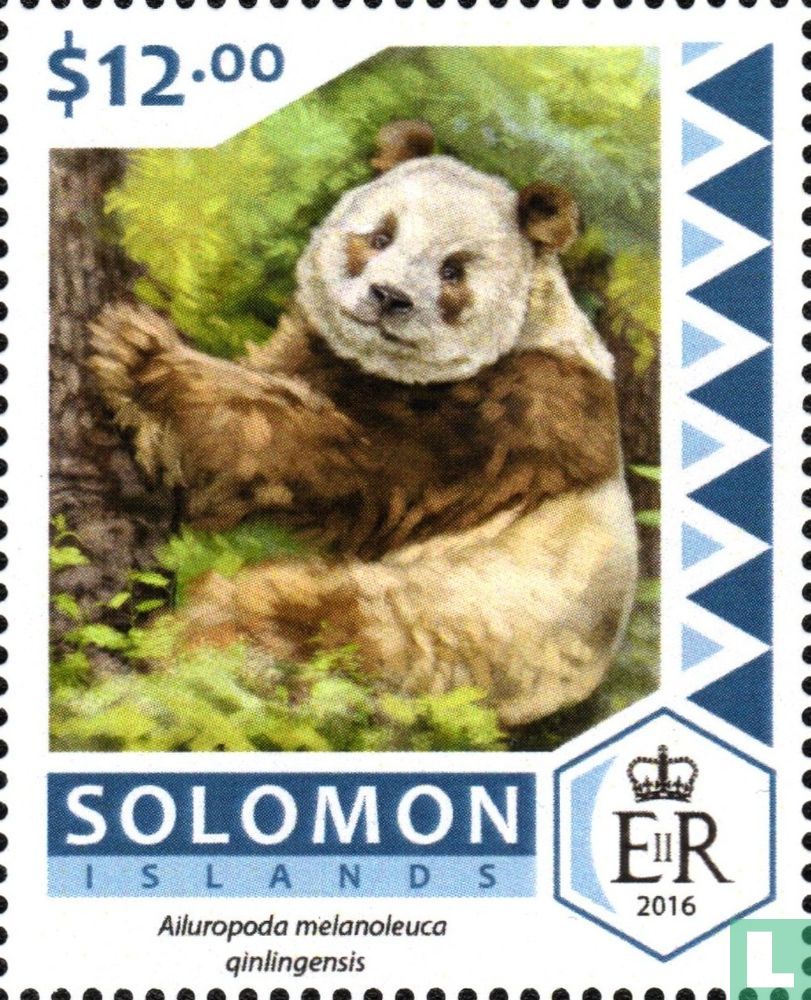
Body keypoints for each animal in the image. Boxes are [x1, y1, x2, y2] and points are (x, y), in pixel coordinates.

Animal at [90, 120, 638, 728]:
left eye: (453, 270)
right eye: (380, 237)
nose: (388, 297)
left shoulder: (522, 412)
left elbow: (360, 470)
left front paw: (145, 358)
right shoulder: (322, 353)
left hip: (440, 631)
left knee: (294, 618)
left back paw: (187, 652)